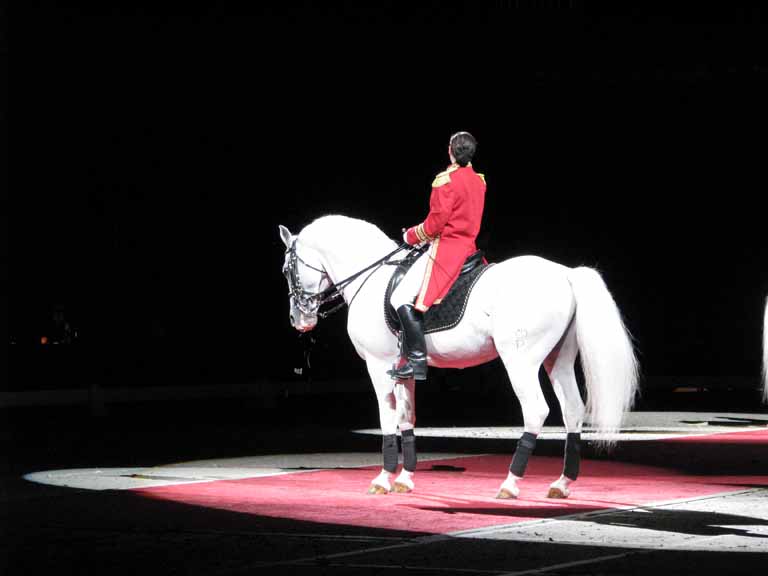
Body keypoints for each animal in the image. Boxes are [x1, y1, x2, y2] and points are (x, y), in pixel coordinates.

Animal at [280, 216, 640, 500]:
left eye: (286, 269)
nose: (299, 320)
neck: (373, 277)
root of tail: (565, 274)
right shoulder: (403, 369)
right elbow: (407, 418)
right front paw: (405, 479)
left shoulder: (378, 364)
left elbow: (386, 419)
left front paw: (383, 479)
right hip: (559, 359)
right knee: (573, 411)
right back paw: (562, 484)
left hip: (520, 361)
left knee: (536, 410)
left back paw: (510, 483)